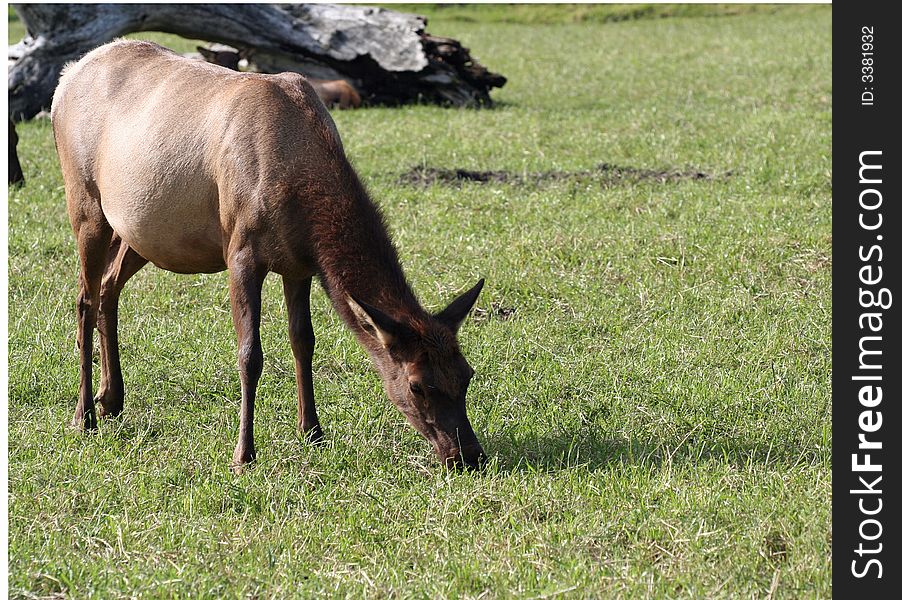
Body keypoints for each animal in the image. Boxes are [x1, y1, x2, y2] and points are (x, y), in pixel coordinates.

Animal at [49, 41, 488, 474]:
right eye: (417, 385)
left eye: (466, 374)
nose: (468, 456)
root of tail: (65, 78)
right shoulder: (241, 252)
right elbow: (250, 354)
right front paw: (243, 454)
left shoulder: (299, 266)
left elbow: (304, 340)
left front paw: (312, 431)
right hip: (85, 203)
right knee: (84, 299)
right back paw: (83, 415)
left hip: (140, 232)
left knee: (108, 287)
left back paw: (111, 399)